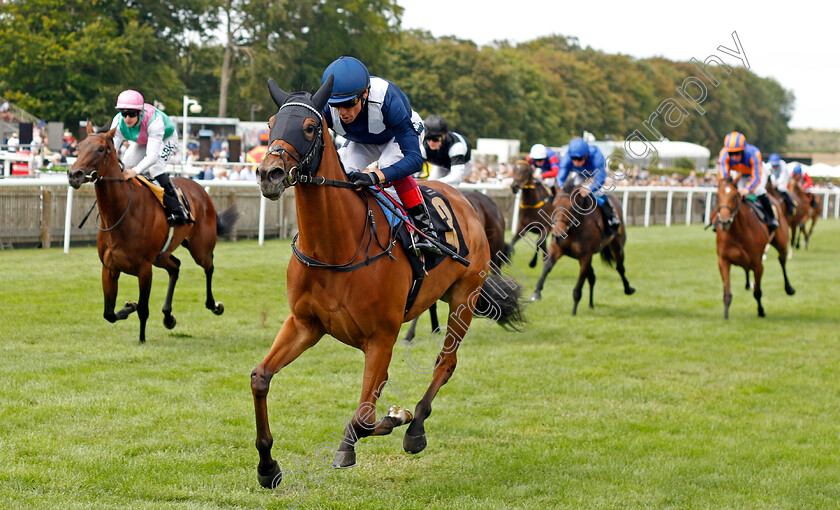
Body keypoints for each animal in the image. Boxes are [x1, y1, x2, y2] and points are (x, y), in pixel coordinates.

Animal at [67, 121, 238, 340]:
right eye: (79, 147)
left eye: (100, 149)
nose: (74, 174)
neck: (121, 212)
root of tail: (200, 189)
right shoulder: (109, 268)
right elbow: (109, 313)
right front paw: (129, 306)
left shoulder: (144, 268)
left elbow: (143, 310)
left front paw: (142, 339)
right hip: (162, 255)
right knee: (175, 266)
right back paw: (168, 316)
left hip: (200, 248)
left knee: (209, 267)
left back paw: (214, 305)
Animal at [536, 179, 632, 314]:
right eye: (554, 205)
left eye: (572, 207)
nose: (558, 235)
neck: (572, 229)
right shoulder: (557, 249)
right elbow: (547, 267)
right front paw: (536, 293)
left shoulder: (585, 256)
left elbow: (580, 281)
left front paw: (574, 310)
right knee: (592, 277)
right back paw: (591, 304)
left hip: (617, 244)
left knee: (619, 267)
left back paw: (628, 288)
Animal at [712, 177, 796, 316]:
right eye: (717, 195)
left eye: (735, 196)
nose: (724, 221)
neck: (737, 233)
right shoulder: (723, 261)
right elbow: (727, 293)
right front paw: (725, 315)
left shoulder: (758, 264)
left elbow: (758, 292)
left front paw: (761, 311)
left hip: (782, 243)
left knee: (782, 261)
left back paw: (789, 288)